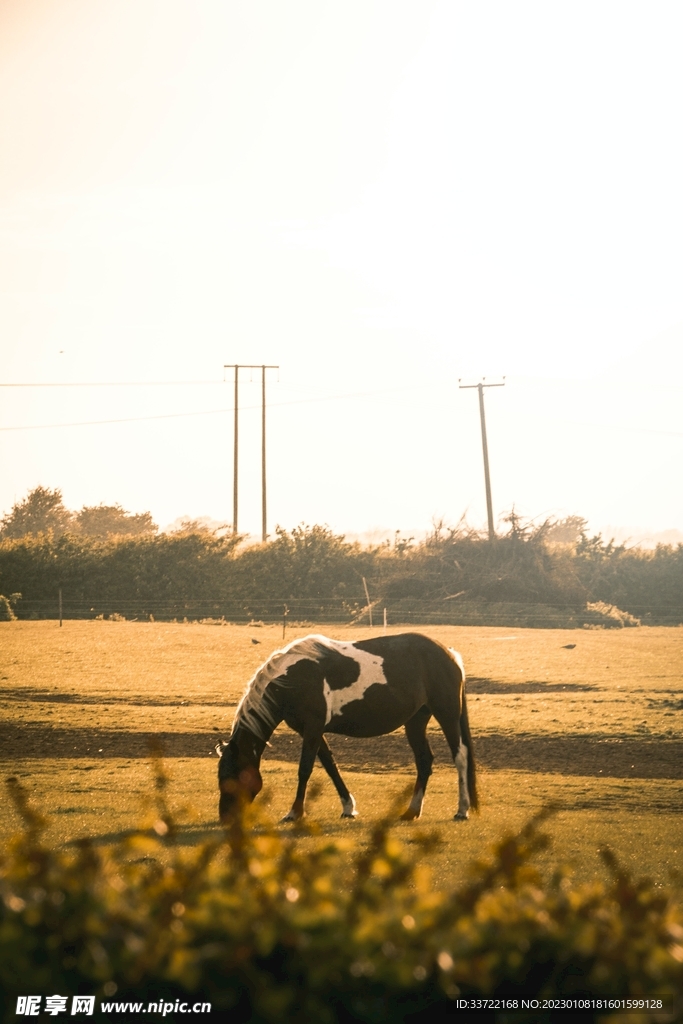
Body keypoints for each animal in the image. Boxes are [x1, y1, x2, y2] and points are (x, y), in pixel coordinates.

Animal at [217, 632, 477, 824]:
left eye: (233, 776)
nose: (225, 818)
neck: (294, 677)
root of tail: (450, 654)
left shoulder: (312, 728)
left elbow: (305, 769)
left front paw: (294, 813)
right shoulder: (312, 731)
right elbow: (330, 766)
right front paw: (348, 807)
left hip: (447, 715)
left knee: (460, 757)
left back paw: (462, 810)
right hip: (415, 721)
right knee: (424, 761)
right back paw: (411, 811)